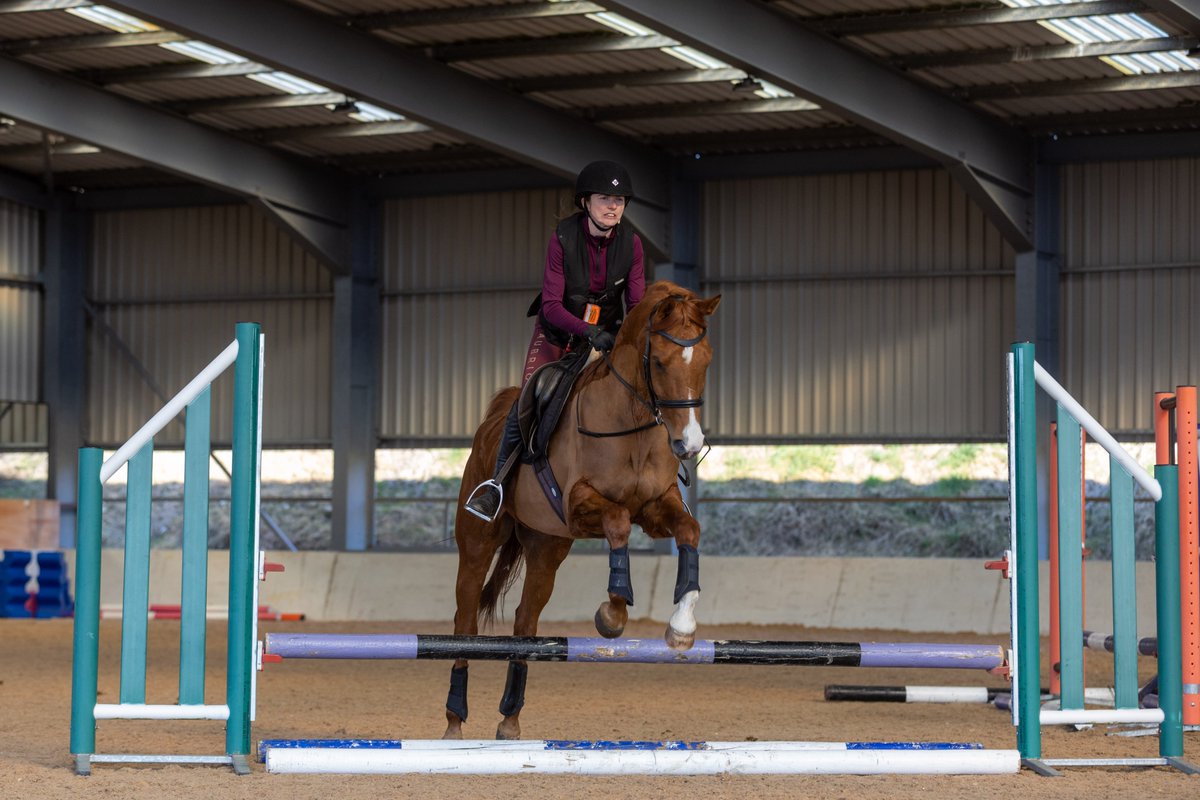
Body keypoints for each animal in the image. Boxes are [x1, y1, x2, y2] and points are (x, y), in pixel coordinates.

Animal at [443, 280, 721, 740]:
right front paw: (613, 613)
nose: (689, 444)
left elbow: (689, 531)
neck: (632, 424)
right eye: (659, 363)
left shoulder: (655, 508)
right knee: (464, 621)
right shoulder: (578, 506)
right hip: (479, 540)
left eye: (706, 361)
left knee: (525, 621)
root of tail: (496, 417)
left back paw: (510, 720)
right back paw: (454, 721)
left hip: (547, 547)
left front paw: (681, 626)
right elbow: (619, 522)